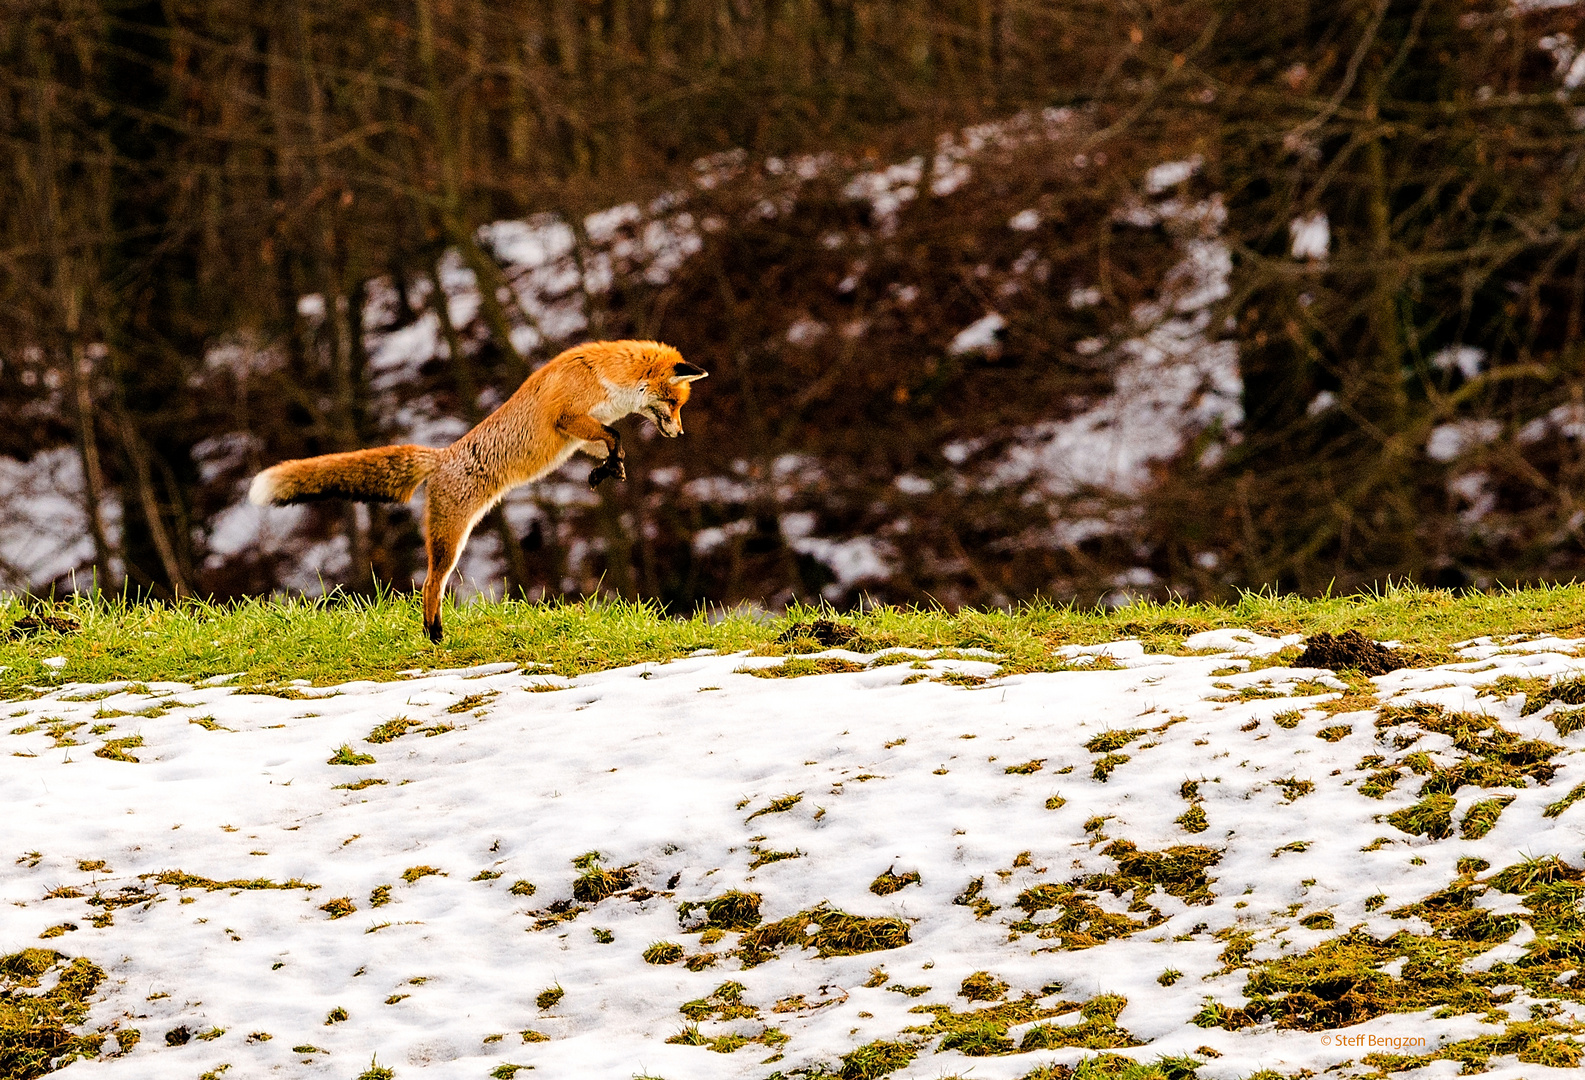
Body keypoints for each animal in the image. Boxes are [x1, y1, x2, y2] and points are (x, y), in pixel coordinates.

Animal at [248, 339, 706, 640]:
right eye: (675, 403)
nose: (681, 434)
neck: (609, 377)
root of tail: (441, 456)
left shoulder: (579, 433)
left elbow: (610, 443)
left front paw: (607, 471)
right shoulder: (567, 418)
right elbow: (613, 435)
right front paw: (611, 465)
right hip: (450, 539)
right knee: (429, 585)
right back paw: (434, 634)